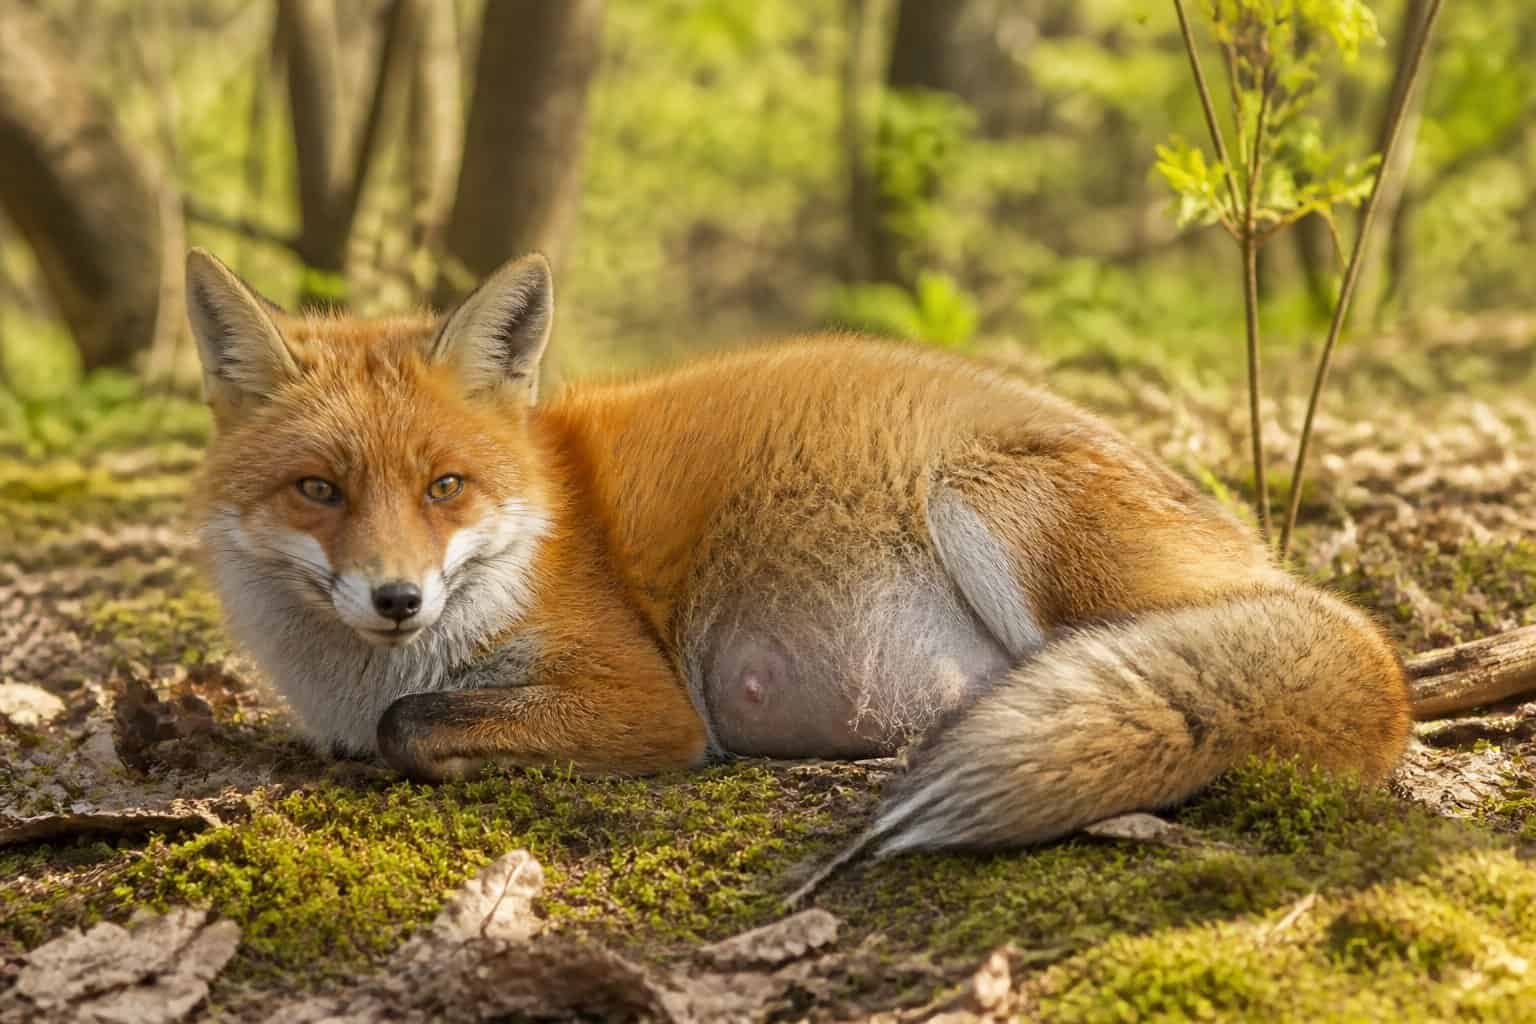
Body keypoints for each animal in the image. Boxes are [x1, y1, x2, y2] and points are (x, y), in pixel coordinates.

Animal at [185, 246, 1411, 858]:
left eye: (446, 487)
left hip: (985, 502)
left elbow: (409, 727)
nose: (396, 598)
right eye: (319, 490)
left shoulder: (643, 702)